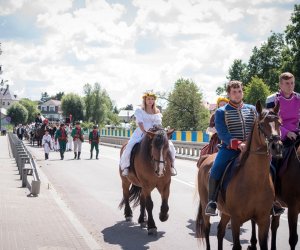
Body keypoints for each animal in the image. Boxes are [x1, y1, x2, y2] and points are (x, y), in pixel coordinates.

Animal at [196, 100, 282, 249]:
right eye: (261, 124)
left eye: (280, 123)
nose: (276, 146)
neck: (255, 181)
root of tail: (206, 158)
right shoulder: (236, 219)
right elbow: (236, 245)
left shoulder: (264, 219)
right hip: (206, 204)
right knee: (207, 229)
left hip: (225, 212)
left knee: (220, 231)